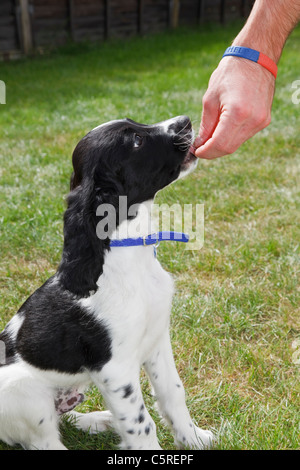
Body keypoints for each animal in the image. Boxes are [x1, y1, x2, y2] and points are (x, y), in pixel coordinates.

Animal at [0, 115, 213, 450]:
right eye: (136, 141)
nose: (185, 121)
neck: (131, 257)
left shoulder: (157, 340)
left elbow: (173, 392)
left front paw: (192, 439)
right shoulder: (115, 370)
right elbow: (142, 424)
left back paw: (99, 420)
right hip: (24, 393)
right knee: (44, 441)